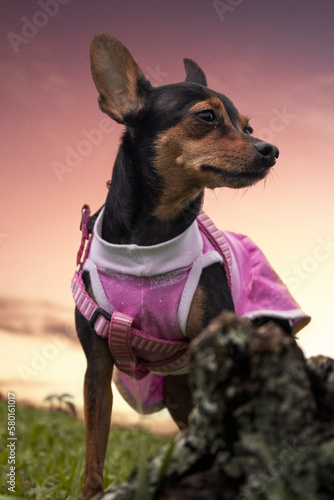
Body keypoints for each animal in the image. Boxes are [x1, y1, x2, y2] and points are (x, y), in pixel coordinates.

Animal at [73, 33, 310, 498]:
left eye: (247, 127)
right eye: (206, 117)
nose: (270, 149)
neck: (148, 241)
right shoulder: (98, 368)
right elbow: (93, 456)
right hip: (180, 392)